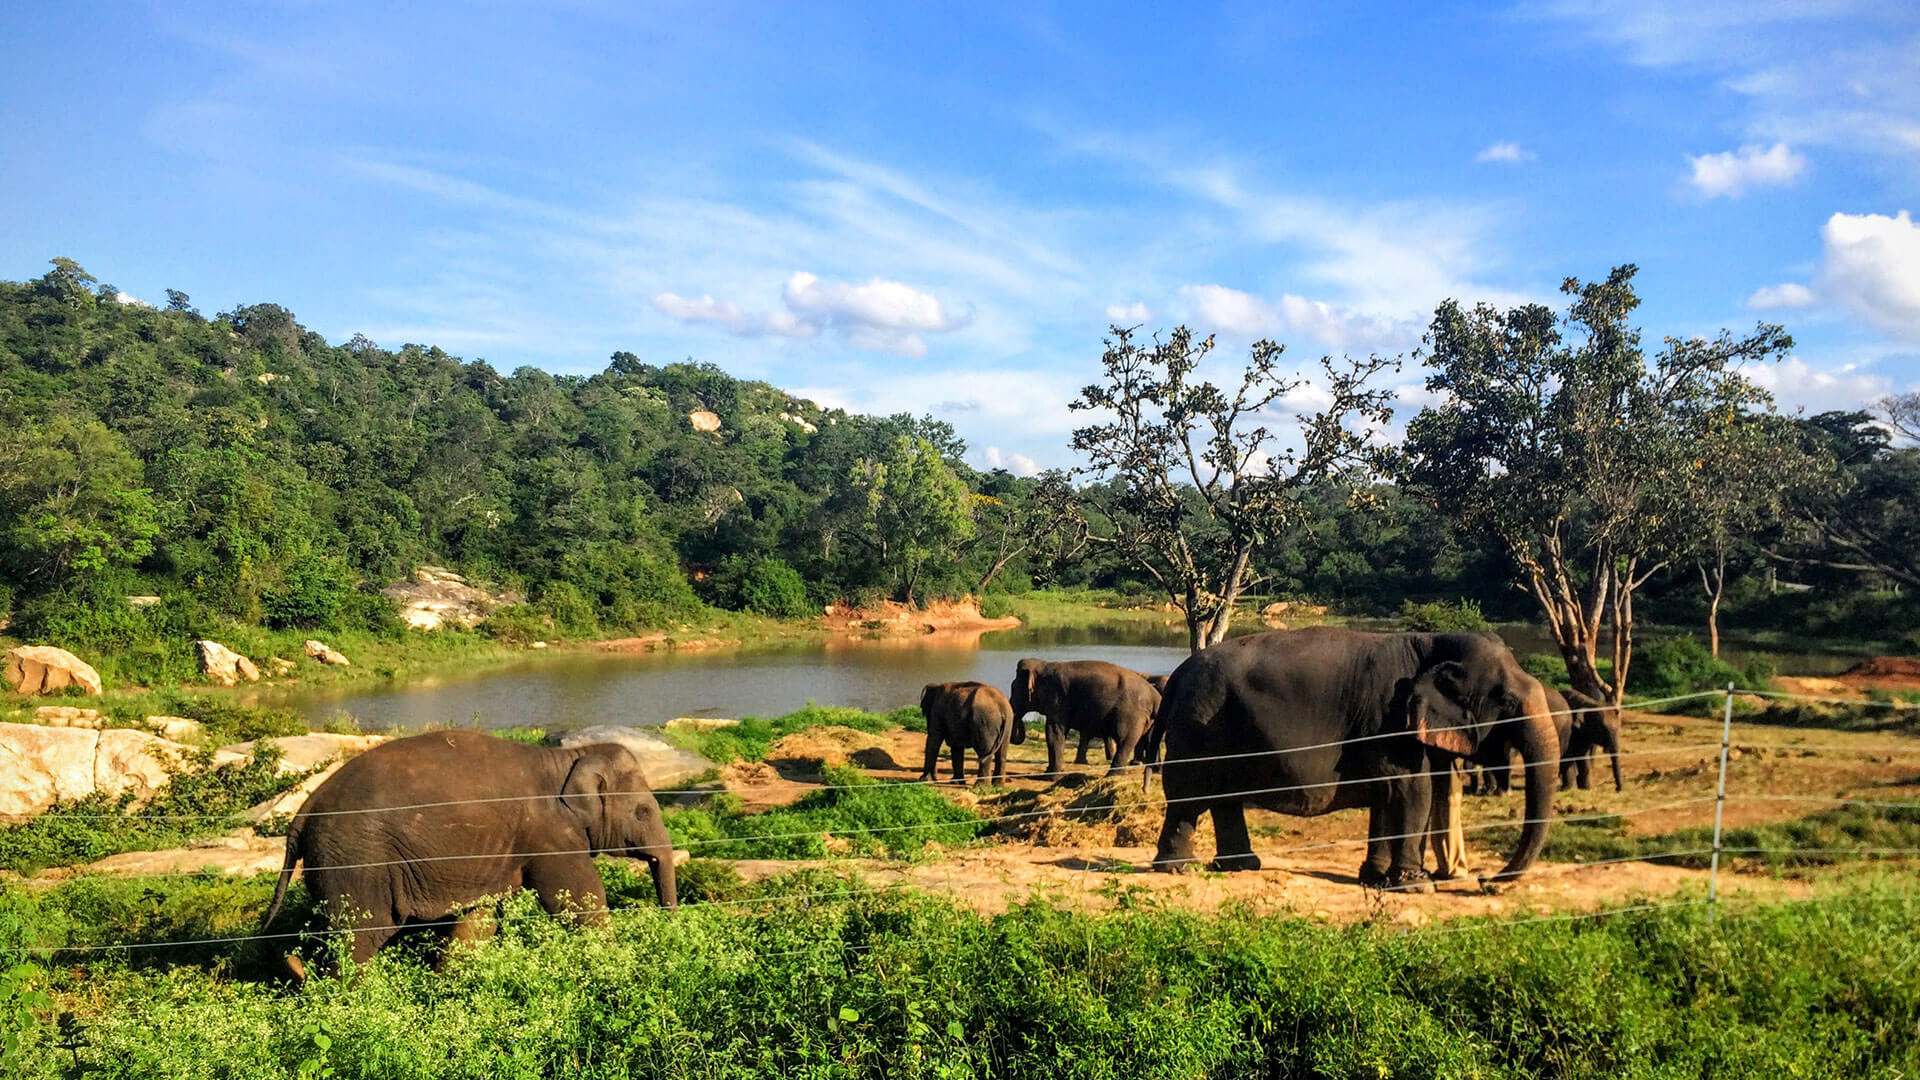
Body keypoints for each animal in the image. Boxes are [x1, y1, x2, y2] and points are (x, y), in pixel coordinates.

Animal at [255, 726, 675, 972]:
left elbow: (480, 917)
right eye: (644, 811)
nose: (670, 927)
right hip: (355, 861)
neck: (568, 758)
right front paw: (614, 962)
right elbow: (577, 897)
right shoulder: (549, 836)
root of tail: (303, 812)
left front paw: (450, 979)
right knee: (359, 936)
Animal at [1006, 657, 1152, 772]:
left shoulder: (1057, 699)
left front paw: (1050, 771)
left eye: (1013, 689)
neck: (1043, 665)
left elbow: (1053, 730)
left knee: (1124, 739)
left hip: (1130, 714)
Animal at [1144, 626, 1551, 887]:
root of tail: (1177, 673)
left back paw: (1241, 866)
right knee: (1188, 796)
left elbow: (1388, 793)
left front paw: (1375, 878)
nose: (1487, 881)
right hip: (1199, 726)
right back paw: (1179, 870)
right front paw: (1414, 885)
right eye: (1507, 703)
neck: (1432, 642)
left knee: (1224, 799)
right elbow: (1412, 789)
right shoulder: (1388, 720)